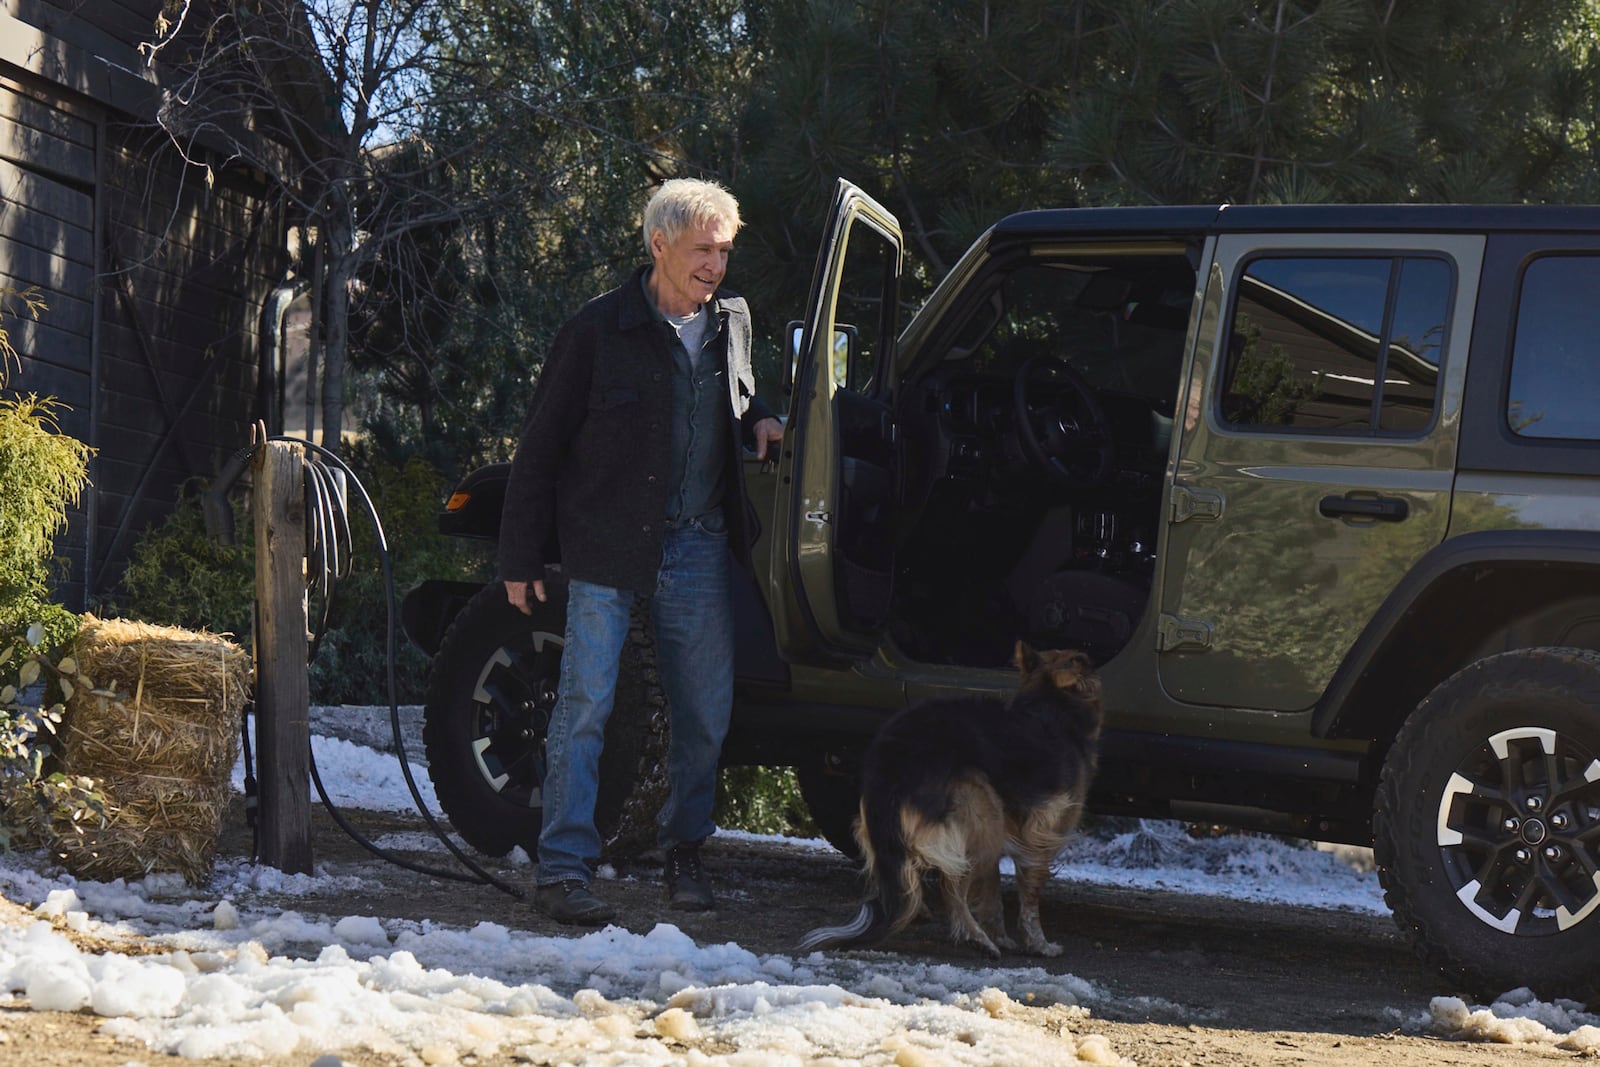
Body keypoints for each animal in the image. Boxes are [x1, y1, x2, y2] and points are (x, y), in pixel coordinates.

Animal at [800, 643, 1100, 959]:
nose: (1092, 658)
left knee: (905, 878)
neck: (1049, 706)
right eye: (1080, 659)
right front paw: (1039, 945)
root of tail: (893, 760)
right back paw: (976, 938)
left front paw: (1002, 935)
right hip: (982, 812)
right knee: (951, 886)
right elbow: (1029, 899)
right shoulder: (1043, 834)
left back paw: (924, 913)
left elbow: (991, 890)